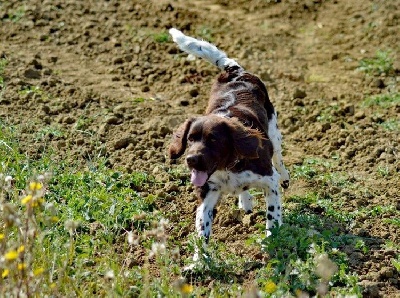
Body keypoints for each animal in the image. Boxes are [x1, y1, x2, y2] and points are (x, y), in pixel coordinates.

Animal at [167, 28, 290, 260]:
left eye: (213, 140)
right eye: (190, 139)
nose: (191, 160)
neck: (228, 167)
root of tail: (234, 71)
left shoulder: (270, 182)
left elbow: (272, 217)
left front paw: (271, 243)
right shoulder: (207, 195)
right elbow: (202, 231)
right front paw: (198, 262)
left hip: (274, 130)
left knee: (278, 158)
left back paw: (285, 177)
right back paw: (245, 200)